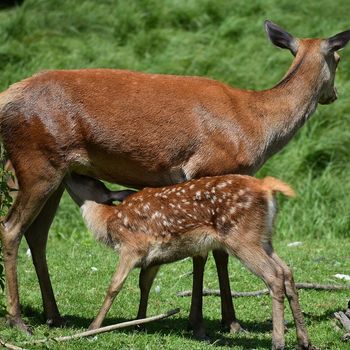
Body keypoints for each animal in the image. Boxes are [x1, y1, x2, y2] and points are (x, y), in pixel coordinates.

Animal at [0, 19, 348, 336]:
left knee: (37, 235)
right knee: (11, 228)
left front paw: (210, 319)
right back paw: (18, 321)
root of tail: (6, 97)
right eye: (339, 58)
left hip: (58, 173)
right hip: (36, 163)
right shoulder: (210, 167)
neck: (257, 126)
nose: (333, 95)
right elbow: (213, 254)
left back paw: (54, 316)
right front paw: (220, 322)